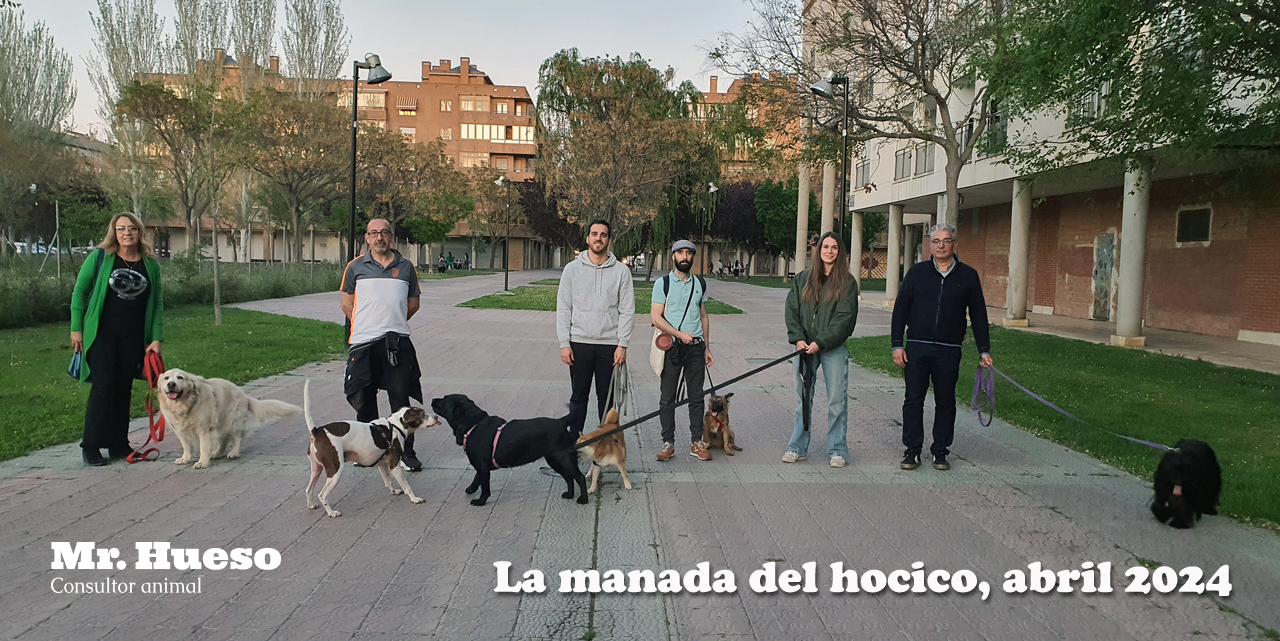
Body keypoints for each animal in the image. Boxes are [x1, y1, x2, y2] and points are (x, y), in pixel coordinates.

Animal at [300, 376, 437, 516]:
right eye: (423, 415)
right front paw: (415, 499)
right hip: (335, 469)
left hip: (316, 468)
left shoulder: (382, 464)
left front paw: (394, 491)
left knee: (308, 489)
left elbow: (388, 481)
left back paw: (311, 505)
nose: (436, 417)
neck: (395, 426)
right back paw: (331, 512)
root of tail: (317, 431)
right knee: (322, 495)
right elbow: (407, 485)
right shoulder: (394, 465)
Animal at [432, 391, 586, 506]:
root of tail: (560, 422)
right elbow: (477, 478)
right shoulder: (482, 466)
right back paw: (570, 494)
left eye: (444, 399)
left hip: (564, 458)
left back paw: (583, 499)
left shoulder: (482, 466)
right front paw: (471, 489)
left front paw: (481, 501)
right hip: (553, 460)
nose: (433, 399)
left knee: (579, 477)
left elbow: (484, 487)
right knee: (568, 476)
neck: (473, 424)